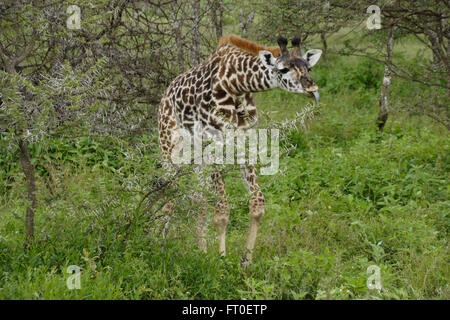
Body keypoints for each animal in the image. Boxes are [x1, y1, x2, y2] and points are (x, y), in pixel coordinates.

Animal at [160, 35, 322, 266]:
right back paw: (163, 244)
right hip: (170, 148)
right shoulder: (214, 144)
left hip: (197, 156)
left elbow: (257, 203)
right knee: (168, 195)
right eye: (283, 69)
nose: (312, 89)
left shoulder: (247, 141)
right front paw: (221, 260)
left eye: (308, 67)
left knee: (198, 199)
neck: (235, 85)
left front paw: (246, 261)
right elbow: (222, 211)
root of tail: (165, 94)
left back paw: (201, 252)